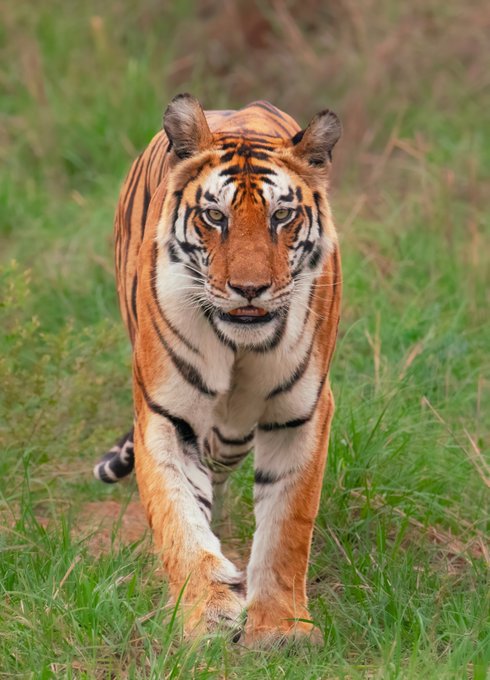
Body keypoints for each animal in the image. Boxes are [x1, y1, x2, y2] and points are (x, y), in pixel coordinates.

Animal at [93, 93, 342, 645]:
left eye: (282, 215)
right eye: (214, 216)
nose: (249, 289)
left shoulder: (302, 414)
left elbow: (287, 526)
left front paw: (280, 627)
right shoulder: (165, 414)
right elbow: (179, 518)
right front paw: (206, 612)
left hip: (236, 433)